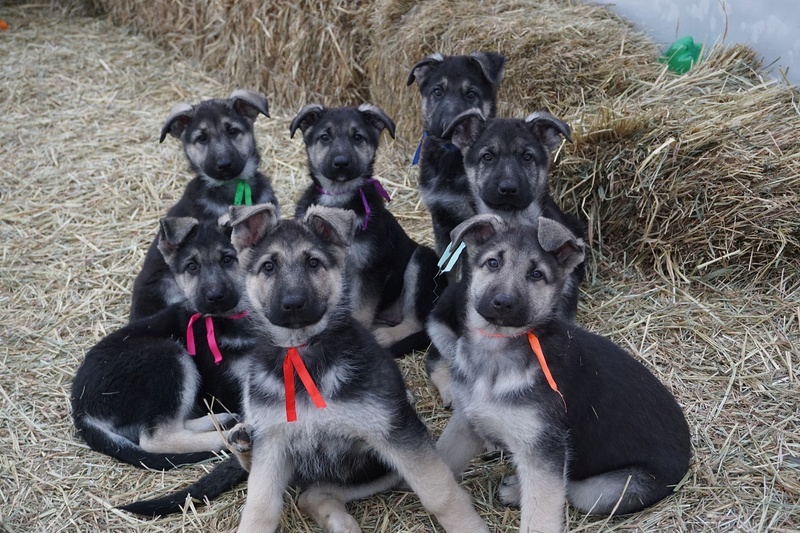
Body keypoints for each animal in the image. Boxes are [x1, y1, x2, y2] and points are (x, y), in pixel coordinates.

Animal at [72, 214, 253, 468]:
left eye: (228, 259)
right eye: (192, 267)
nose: (214, 297)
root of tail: (81, 410)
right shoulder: (229, 385)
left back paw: (220, 420)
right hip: (167, 357)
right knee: (157, 438)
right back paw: (225, 437)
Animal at [122, 203, 490, 532]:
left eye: (313, 263)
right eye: (268, 267)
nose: (293, 304)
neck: (302, 352)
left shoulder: (395, 434)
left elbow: (440, 494)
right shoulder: (273, 444)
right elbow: (259, 508)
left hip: (376, 464)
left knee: (314, 494)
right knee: (300, 489)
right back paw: (243, 441)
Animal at [290, 103, 444, 358]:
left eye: (357, 137)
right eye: (324, 137)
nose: (341, 162)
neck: (338, 199)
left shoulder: (371, 268)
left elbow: (360, 311)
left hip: (423, 260)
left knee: (415, 322)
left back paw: (383, 337)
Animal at [428, 214, 692, 528]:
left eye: (536, 274)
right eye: (493, 263)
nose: (503, 302)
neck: (497, 349)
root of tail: (687, 455)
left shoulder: (543, 451)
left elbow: (540, 513)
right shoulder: (467, 418)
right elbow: (443, 456)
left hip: (607, 488)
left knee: (571, 488)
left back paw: (516, 490)